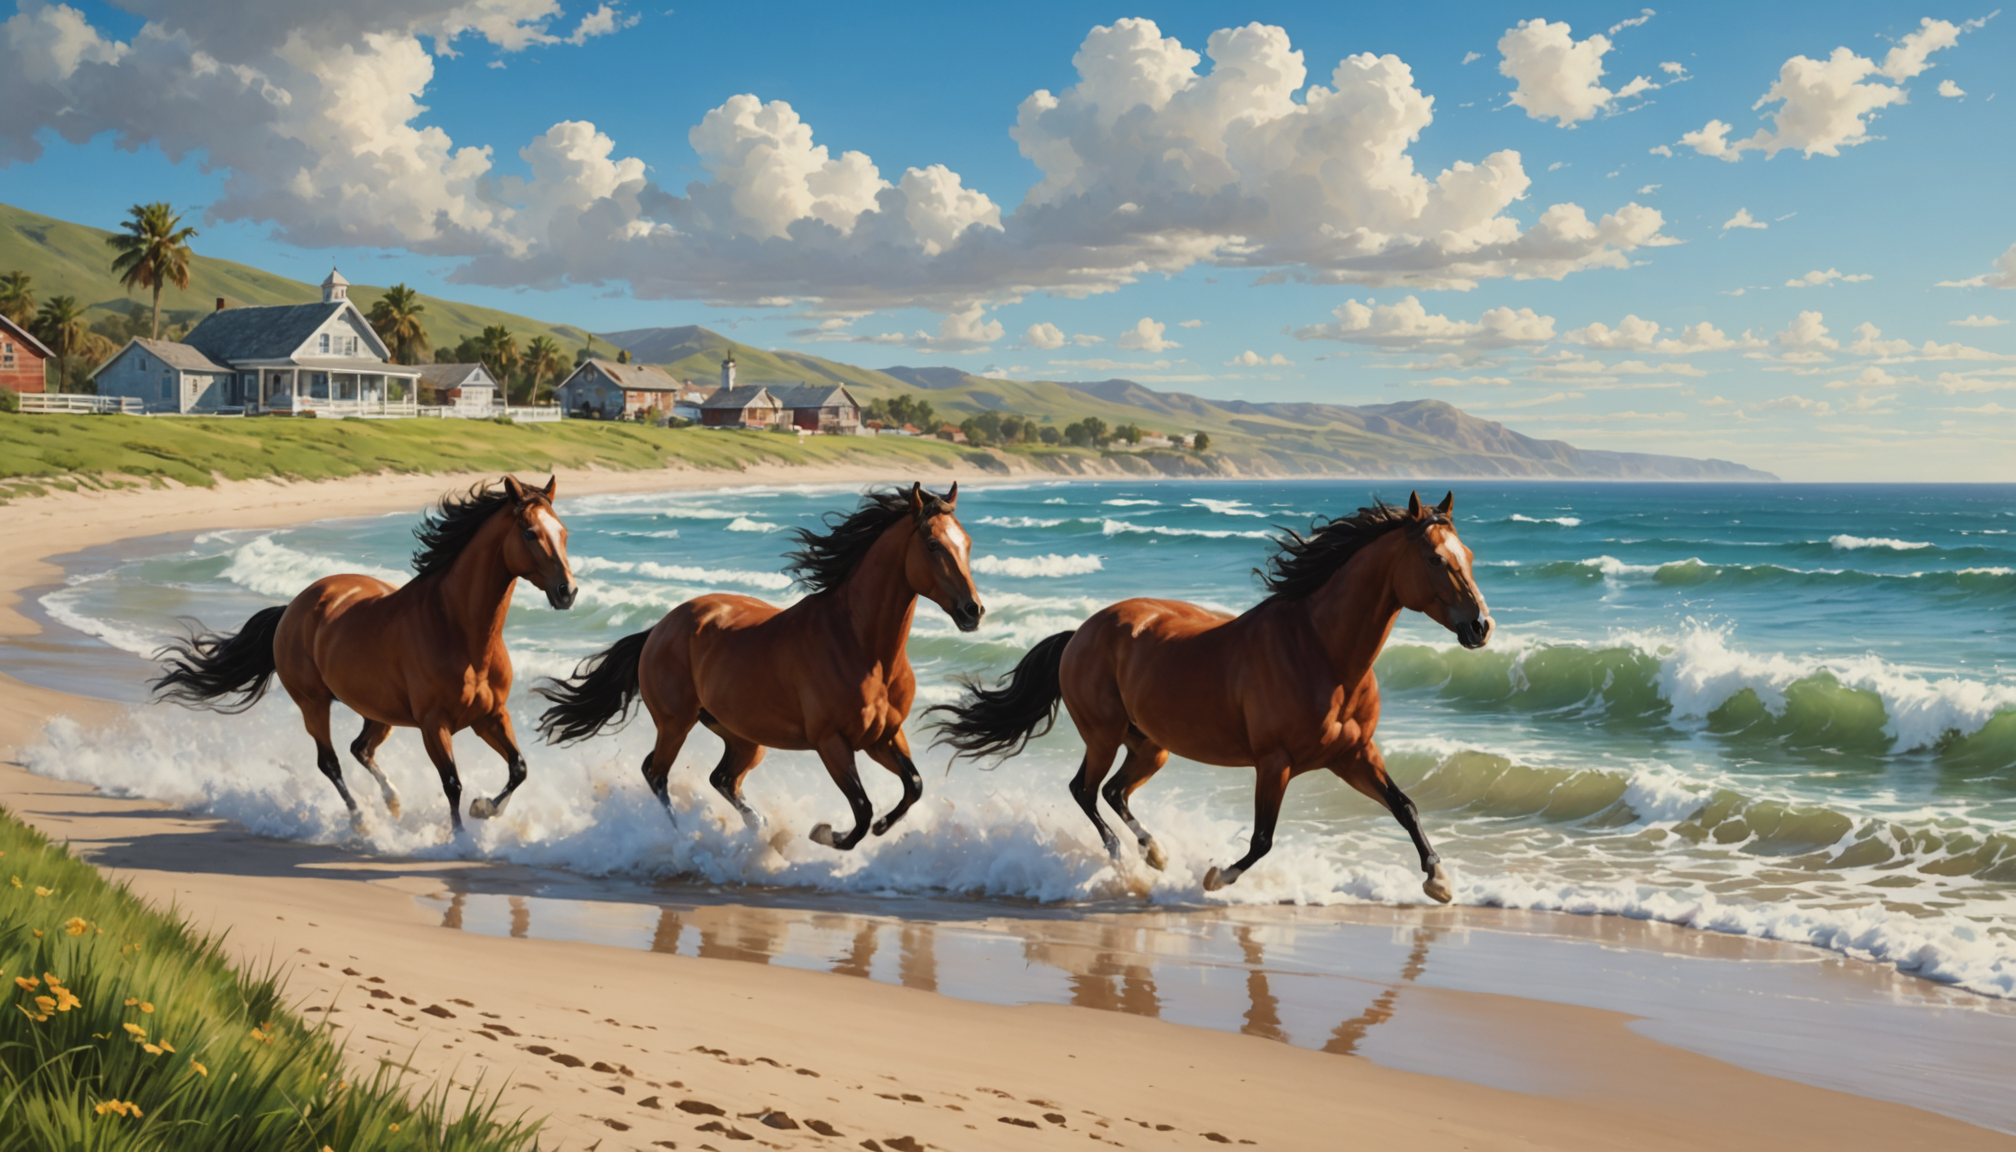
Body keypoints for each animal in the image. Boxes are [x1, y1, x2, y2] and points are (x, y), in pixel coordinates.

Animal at [152, 476, 579, 833]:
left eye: (563, 532)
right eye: (529, 532)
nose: (567, 591)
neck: (460, 632)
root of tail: (294, 606)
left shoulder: (490, 716)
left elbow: (519, 768)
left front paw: (483, 809)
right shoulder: (434, 724)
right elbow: (452, 783)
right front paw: (459, 840)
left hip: (378, 711)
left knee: (361, 748)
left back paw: (393, 802)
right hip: (313, 703)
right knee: (330, 761)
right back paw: (361, 821)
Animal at [534, 483, 983, 850]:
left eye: (967, 542)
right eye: (932, 544)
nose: (972, 611)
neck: (862, 647)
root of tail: (660, 627)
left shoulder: (884, 736)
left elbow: (912, 787)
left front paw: (880, 829)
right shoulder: (832, 742)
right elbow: (861, 809)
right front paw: (824, 833)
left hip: (742, 735)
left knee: (722, 779)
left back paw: (758, 828)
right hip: (676, 723)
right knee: (656, 772)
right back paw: (679, 836)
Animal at [929, 491, 1492, 902]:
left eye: (1468, 555)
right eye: (1435, 559)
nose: (1481, 627)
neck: (1322, 650)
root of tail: (1080, 633)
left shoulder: (1353, 755)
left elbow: (1406, 807)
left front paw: (1439, 882)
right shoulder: (1275, 763)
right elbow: (1262, 839)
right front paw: (1217, 877)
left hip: (1150, 745)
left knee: (1113, 792)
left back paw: (1154, 854)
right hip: (1104, 736)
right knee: (1084, 791)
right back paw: (1120, 859)